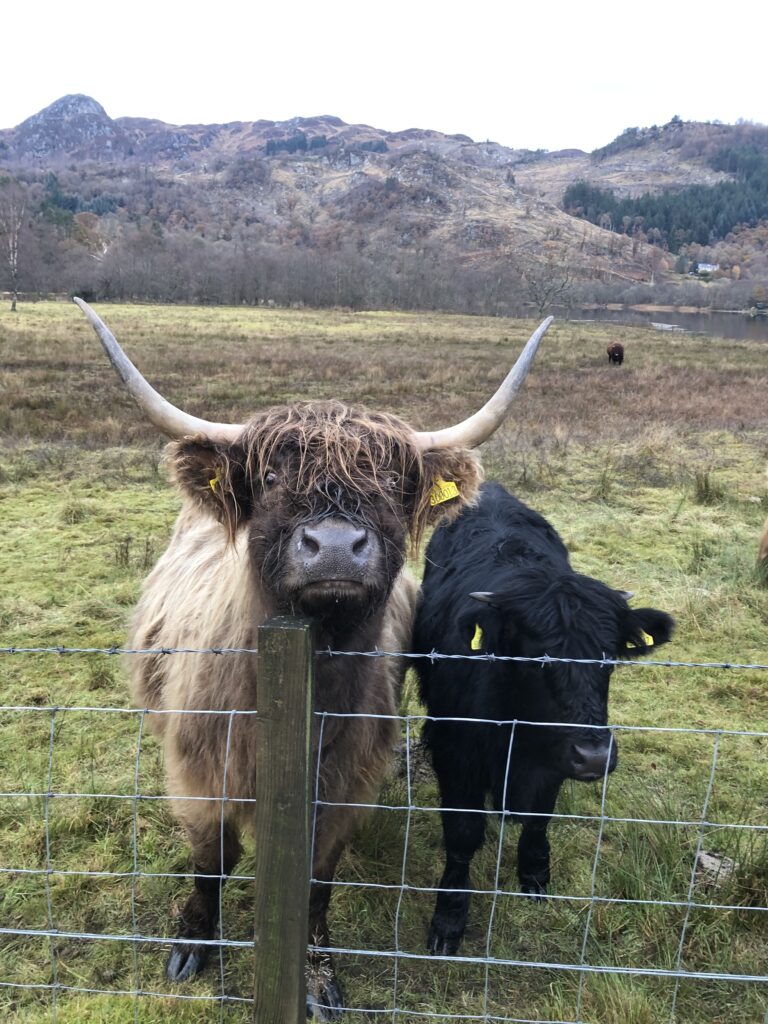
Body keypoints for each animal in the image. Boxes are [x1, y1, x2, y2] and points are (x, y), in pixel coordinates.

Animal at [73, 299, 552, 1019]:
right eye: (271, 477)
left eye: (390, 480)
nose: (332, 546)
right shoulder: (198, 771)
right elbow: (212, 860)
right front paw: (191, 943)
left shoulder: (343, 788)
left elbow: (317, 882)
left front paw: (319, 976)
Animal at [412, 481, 674, 956]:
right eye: (537, 658)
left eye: (609, 657)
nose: (594, 756)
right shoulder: (455, 750)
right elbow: (463, 832)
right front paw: (449, 917)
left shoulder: (553, 754)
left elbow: (540, 816)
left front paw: (535, 875)